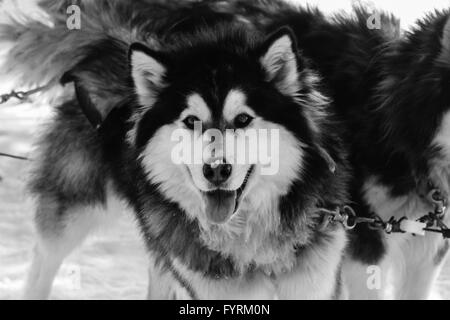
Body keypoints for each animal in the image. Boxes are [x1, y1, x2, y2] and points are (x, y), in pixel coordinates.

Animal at [0, 0, 350, 300]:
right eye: (191, 120)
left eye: (243, 119)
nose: (216, 170)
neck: (252, 243)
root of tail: (110, 42)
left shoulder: (314, 281)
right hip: (79, 203)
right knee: (45, 257)